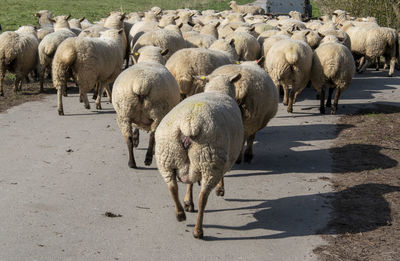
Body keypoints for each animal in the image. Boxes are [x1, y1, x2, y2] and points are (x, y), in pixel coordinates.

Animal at [155, 72, 244, 238]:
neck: (217, 89)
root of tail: (189, 123)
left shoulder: (193, 165)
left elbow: (190, 181)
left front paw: (188, 202)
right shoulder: (225, 157)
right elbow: (221, 176)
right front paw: (220, 189)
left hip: (168, 156)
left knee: (172, 186)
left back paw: (180, 214)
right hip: (211, 160)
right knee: (203, 197)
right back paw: (198, 230)